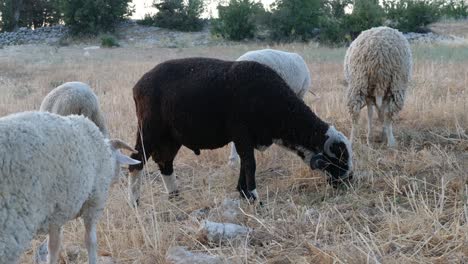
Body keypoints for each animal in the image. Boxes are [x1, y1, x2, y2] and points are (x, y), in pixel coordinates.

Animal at [0, 111, 139, 264]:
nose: (118, 178)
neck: (106, 154)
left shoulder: (55, 214)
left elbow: (53, 246)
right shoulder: (94, 201)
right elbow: (90, 240)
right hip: (11, 226)